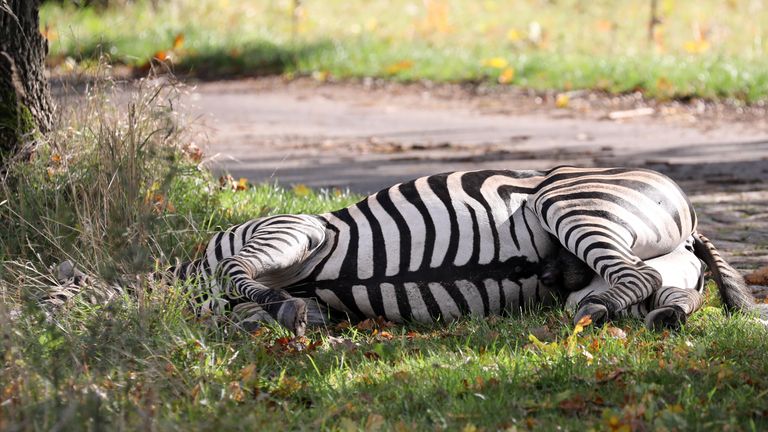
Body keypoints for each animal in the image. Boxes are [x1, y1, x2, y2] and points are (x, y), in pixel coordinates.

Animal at [162, 166, 768, 334]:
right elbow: (254, 308)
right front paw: (285, 312)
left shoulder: (293, 228)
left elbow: (238, 270)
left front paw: (279, 307)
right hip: (667, 266)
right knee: (664, 291)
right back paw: (661, 315)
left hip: (569, 200)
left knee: (634, 278)